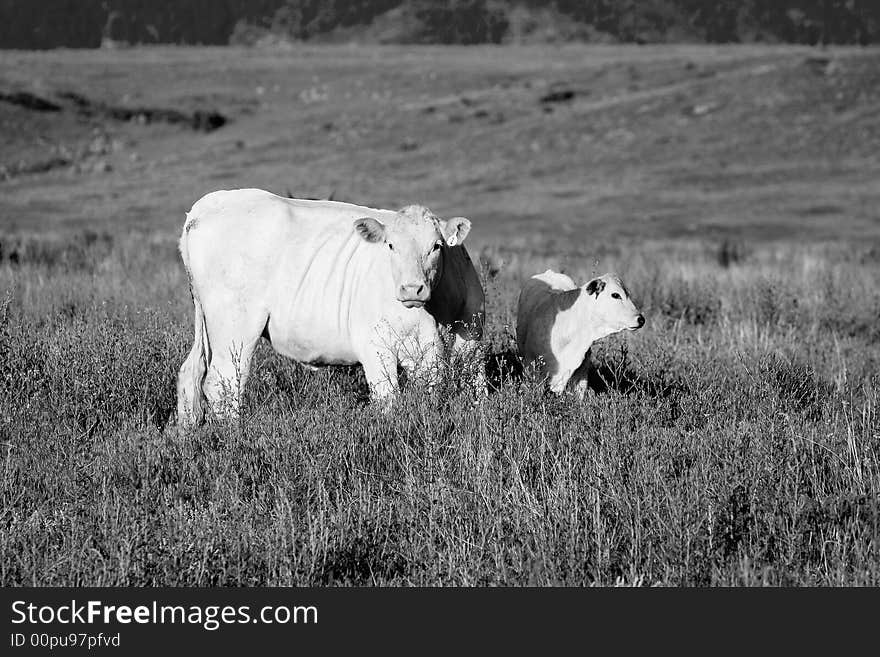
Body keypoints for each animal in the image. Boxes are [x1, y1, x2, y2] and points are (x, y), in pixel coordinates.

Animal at [176, 187, 484, 422]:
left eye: (437, 246)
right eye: (390, 246)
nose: (411, 288)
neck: (438, 314)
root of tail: (205, 207)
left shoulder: (470, 344)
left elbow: (472, 395)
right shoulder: (375, 348)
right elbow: (389, 401)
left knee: (189, 374)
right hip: (234, 328)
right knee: (223, 382)